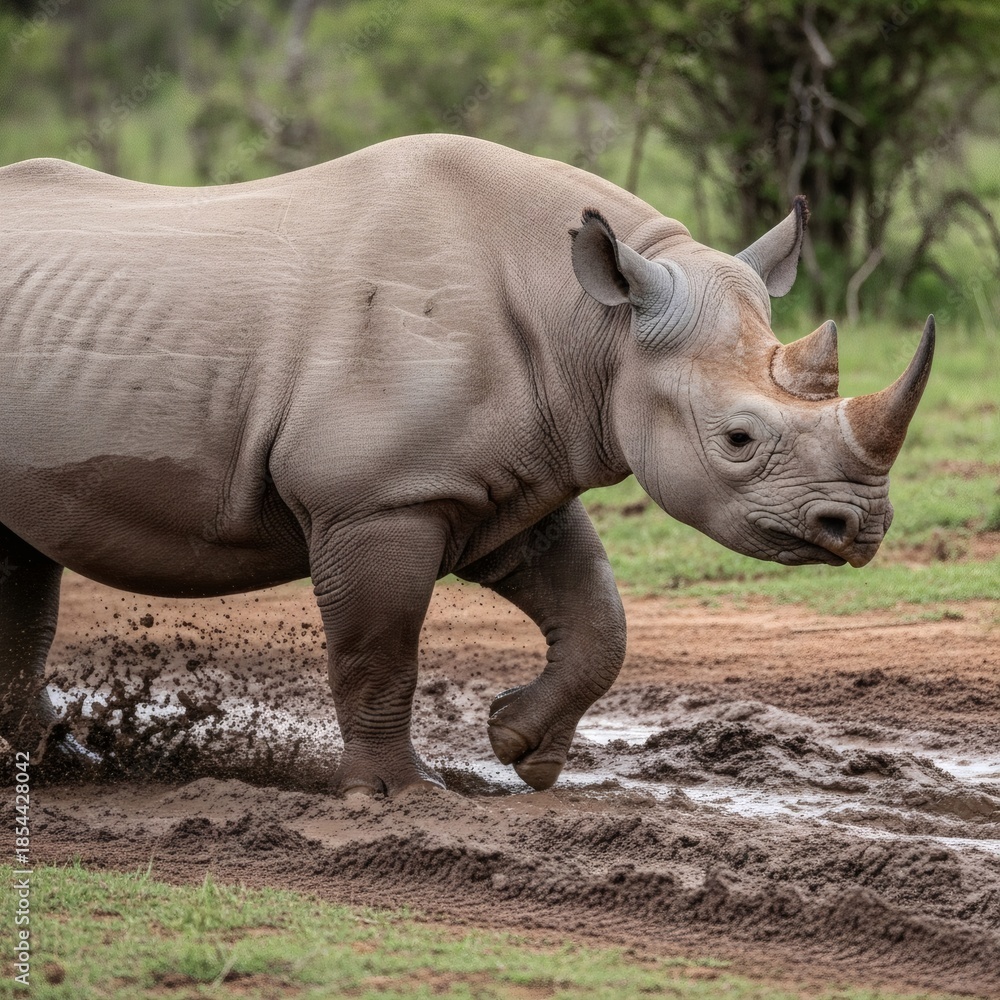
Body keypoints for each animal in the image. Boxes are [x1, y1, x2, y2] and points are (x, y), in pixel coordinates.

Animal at [0, 133, 933, 795]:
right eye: (738, 440)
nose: (861, 526)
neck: (598, 327)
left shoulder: (509, 482)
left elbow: (599, 618)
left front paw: (522, 748)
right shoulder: (379, 498)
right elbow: (381, 647)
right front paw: (400, 795)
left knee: (20, 563)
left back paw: (57, 762)